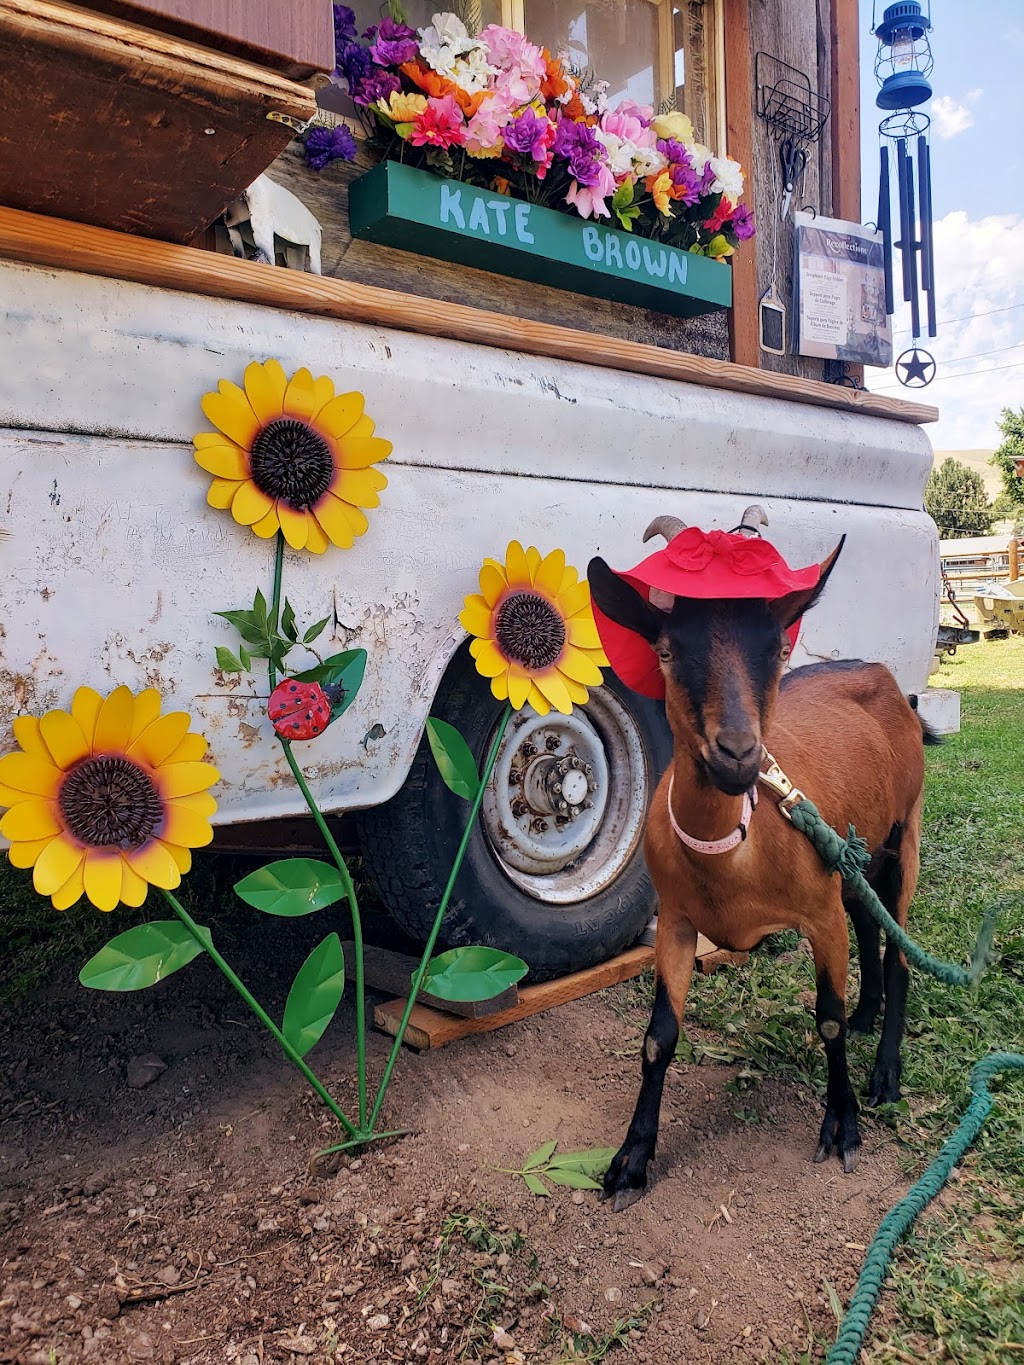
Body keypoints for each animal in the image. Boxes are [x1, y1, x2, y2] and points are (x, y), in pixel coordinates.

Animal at [589, 521, 933, 1206]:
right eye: (666, 650)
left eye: (776, 651)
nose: (739, 755)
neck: (737, 857)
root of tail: (886, 676)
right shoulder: (677, 922)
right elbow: (657, 1038)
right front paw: (632, 1159)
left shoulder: (819, 913)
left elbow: (826, 1021)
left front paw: (843, 1126)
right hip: (851, 853)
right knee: (869, 922)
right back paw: (868, 1015)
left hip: (903, 832)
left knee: (897, 947)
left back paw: (884, 1075)